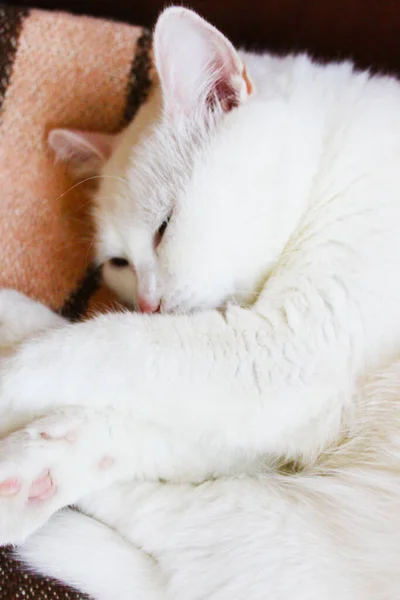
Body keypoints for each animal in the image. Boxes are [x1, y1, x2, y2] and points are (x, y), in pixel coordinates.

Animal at [0, 5, 398, 600]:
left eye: (164, 229)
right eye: (118, 263)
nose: (147, 303)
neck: (332, 159)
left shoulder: (285, 352)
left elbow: (94, 344)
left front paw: (11, 377)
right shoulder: (283, 403)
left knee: (169, 515)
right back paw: (36, 470)